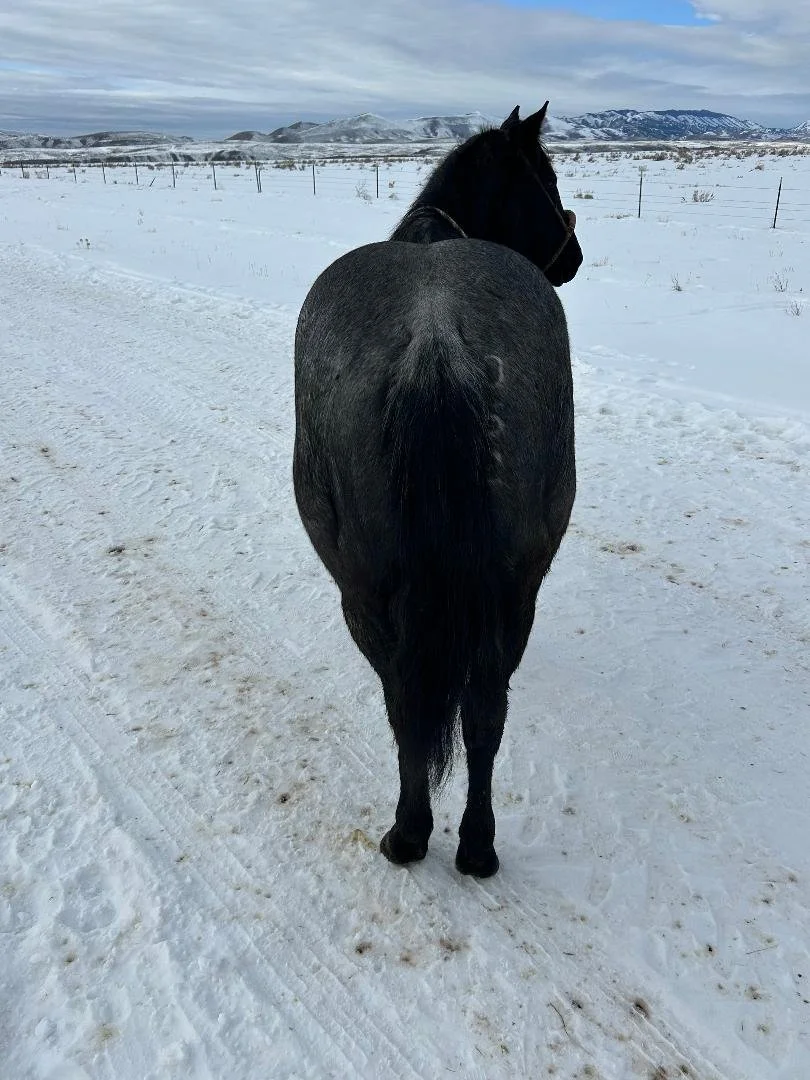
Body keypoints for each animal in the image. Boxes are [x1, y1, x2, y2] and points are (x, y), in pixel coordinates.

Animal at [293, 103, 582, 877]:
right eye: (545, 176)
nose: (572, 256)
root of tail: (436, 343)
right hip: (512, 586)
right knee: (475, 711)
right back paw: (467, 843)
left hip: (367, 592)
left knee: (410, 704)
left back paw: (414, 832)